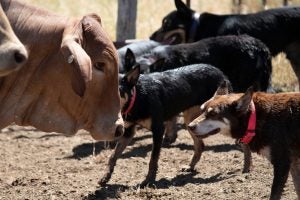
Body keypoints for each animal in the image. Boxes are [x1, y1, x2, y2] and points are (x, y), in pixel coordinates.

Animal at [99, 62, 231, 188]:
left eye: (118, 92)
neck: (138, 98)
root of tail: (220, 72)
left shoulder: (158, 130)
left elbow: (153, 159)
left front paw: (148, 181)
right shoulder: (128, 132)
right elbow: (112, 156)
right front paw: (106, 177)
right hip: (191, 120)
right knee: (200, 145)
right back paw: (190, 167)